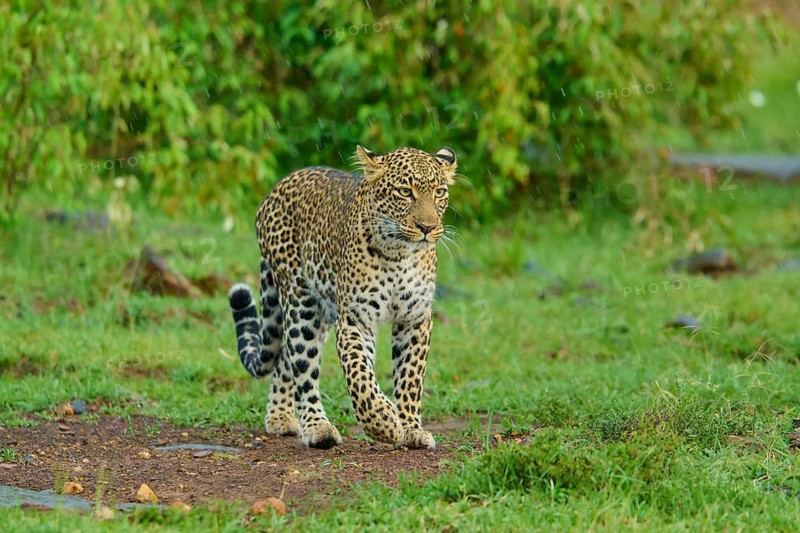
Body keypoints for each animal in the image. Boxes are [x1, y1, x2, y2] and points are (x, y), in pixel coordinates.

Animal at [228, 145, 458, 449]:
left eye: (439, 192)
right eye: (404, 192)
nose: (427, 227)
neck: (399, 253)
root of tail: (278, 185)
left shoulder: (415, 318)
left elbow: (410, 377)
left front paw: (411, 428)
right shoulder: (356, 317)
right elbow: (359, 374)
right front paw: (383, 422)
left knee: (284, 360)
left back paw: (280, 417)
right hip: (301, 303)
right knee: (302, 366)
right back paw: (317, 427)